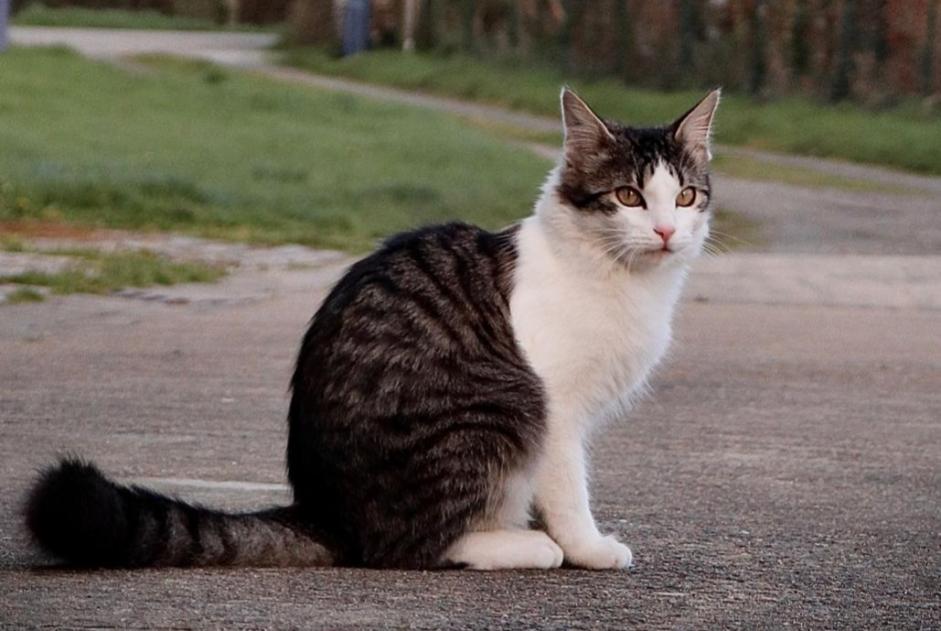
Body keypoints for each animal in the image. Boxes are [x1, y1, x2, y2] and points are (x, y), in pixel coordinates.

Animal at [27, 86, 720, 572]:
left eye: (685, 197)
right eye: (629, 197)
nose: (666, 231)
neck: (624, 280)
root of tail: (324, 512)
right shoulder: (558, 409)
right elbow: (569, 493)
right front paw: (587, 548)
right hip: (503, 406)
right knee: (409, 546)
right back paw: (521, 546)